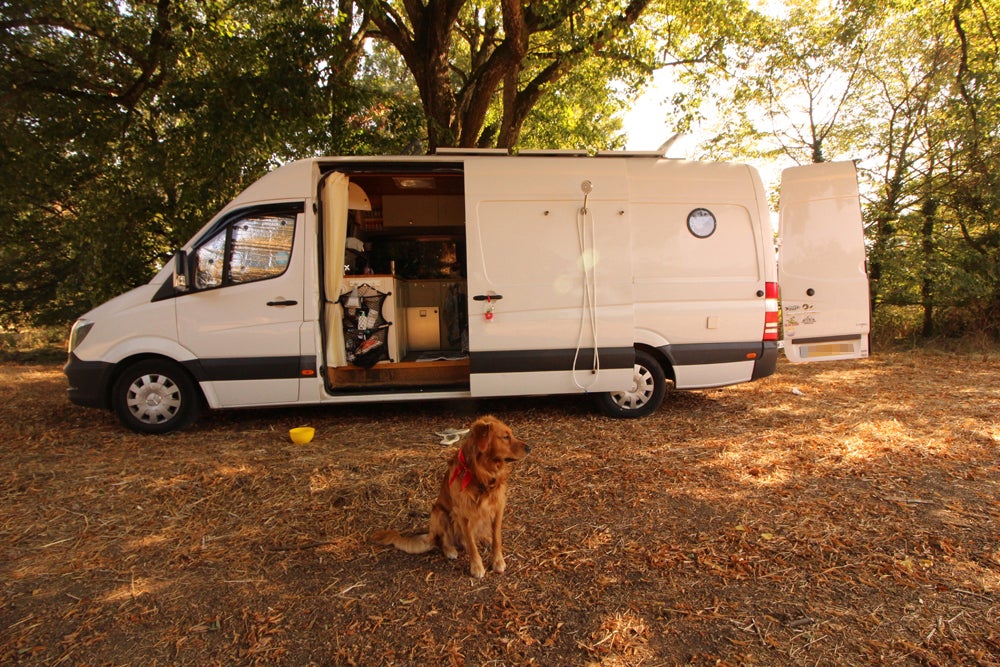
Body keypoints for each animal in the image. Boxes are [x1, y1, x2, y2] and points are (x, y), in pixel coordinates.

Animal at [374, 418, 532, 580]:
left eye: (511, 434)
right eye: (505, 437)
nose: (529, 448)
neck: (481, 475)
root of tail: (430, 534)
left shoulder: (498, 507)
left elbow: (497, 538)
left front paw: (498, 561)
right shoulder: (463, 514)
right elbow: (471, 545)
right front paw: (476, 567)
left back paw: (485, 539)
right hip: (440, 513)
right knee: (445, 540)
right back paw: (450, 550)